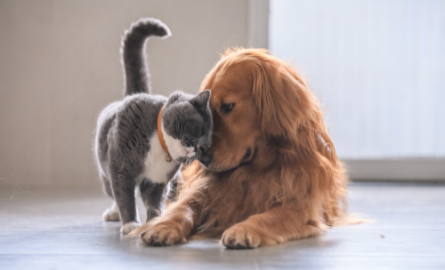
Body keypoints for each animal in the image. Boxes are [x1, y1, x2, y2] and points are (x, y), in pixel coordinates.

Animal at [93, 18, 212, 234]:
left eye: (206, 146)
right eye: (199, 130)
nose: (198, 148)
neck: (160, 146)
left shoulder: (158, 180)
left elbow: (154, 201)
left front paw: (155, 221)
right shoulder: (121, 169)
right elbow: (124, 196)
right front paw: (130, 224)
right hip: (105, 171)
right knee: (113, 192)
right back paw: (114, 213)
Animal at [132, 47, 350, 248]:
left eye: (228, 106)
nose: (202, 158)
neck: (255, 170)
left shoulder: (301, 206)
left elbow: (269, 216)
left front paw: (244, 229)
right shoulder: (204, 190)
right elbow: (183, 207)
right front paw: (163, 226)